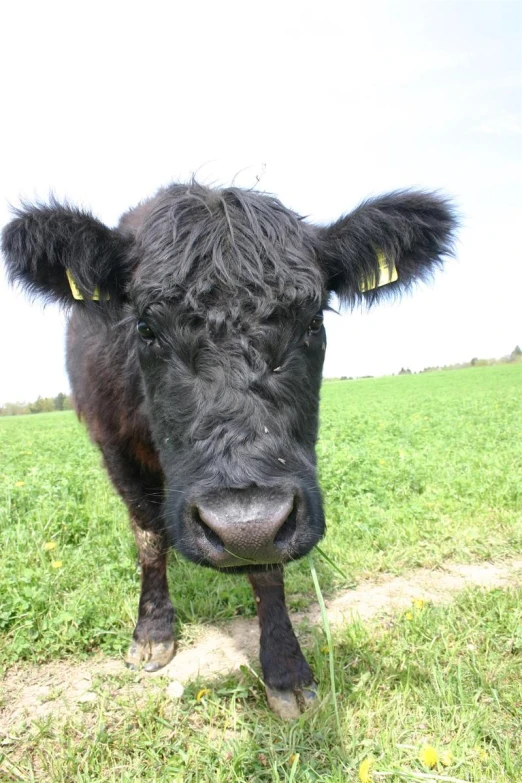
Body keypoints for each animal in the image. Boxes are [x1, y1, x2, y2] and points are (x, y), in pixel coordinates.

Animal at [1, 182, 456, 716]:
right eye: (145, 328)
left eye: (313, 321)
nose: (244, 525)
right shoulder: (114, 446)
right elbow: (149, 538)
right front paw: (152, 631)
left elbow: (267, 568)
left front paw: (285, 668)